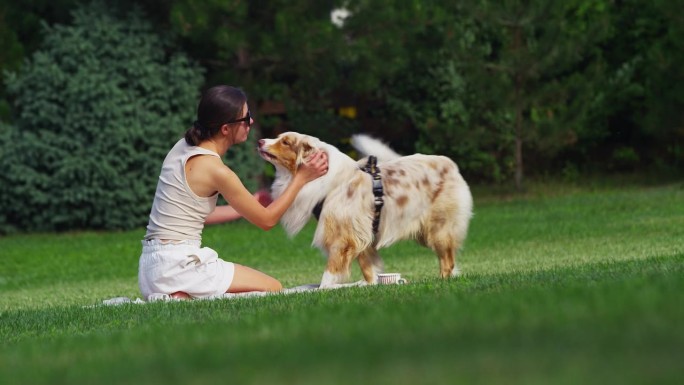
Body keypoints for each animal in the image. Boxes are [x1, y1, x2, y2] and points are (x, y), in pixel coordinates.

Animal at [256, 132, 470, 284]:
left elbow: (329, 273)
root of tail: (449, 163)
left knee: (447, 260)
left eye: (285, 142)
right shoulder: (360, 232)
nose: (259, 141)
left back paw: (443, 281)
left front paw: (324, 289)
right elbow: (367, 266)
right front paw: (370, 285)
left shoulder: (342, 238)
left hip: (438, 229)